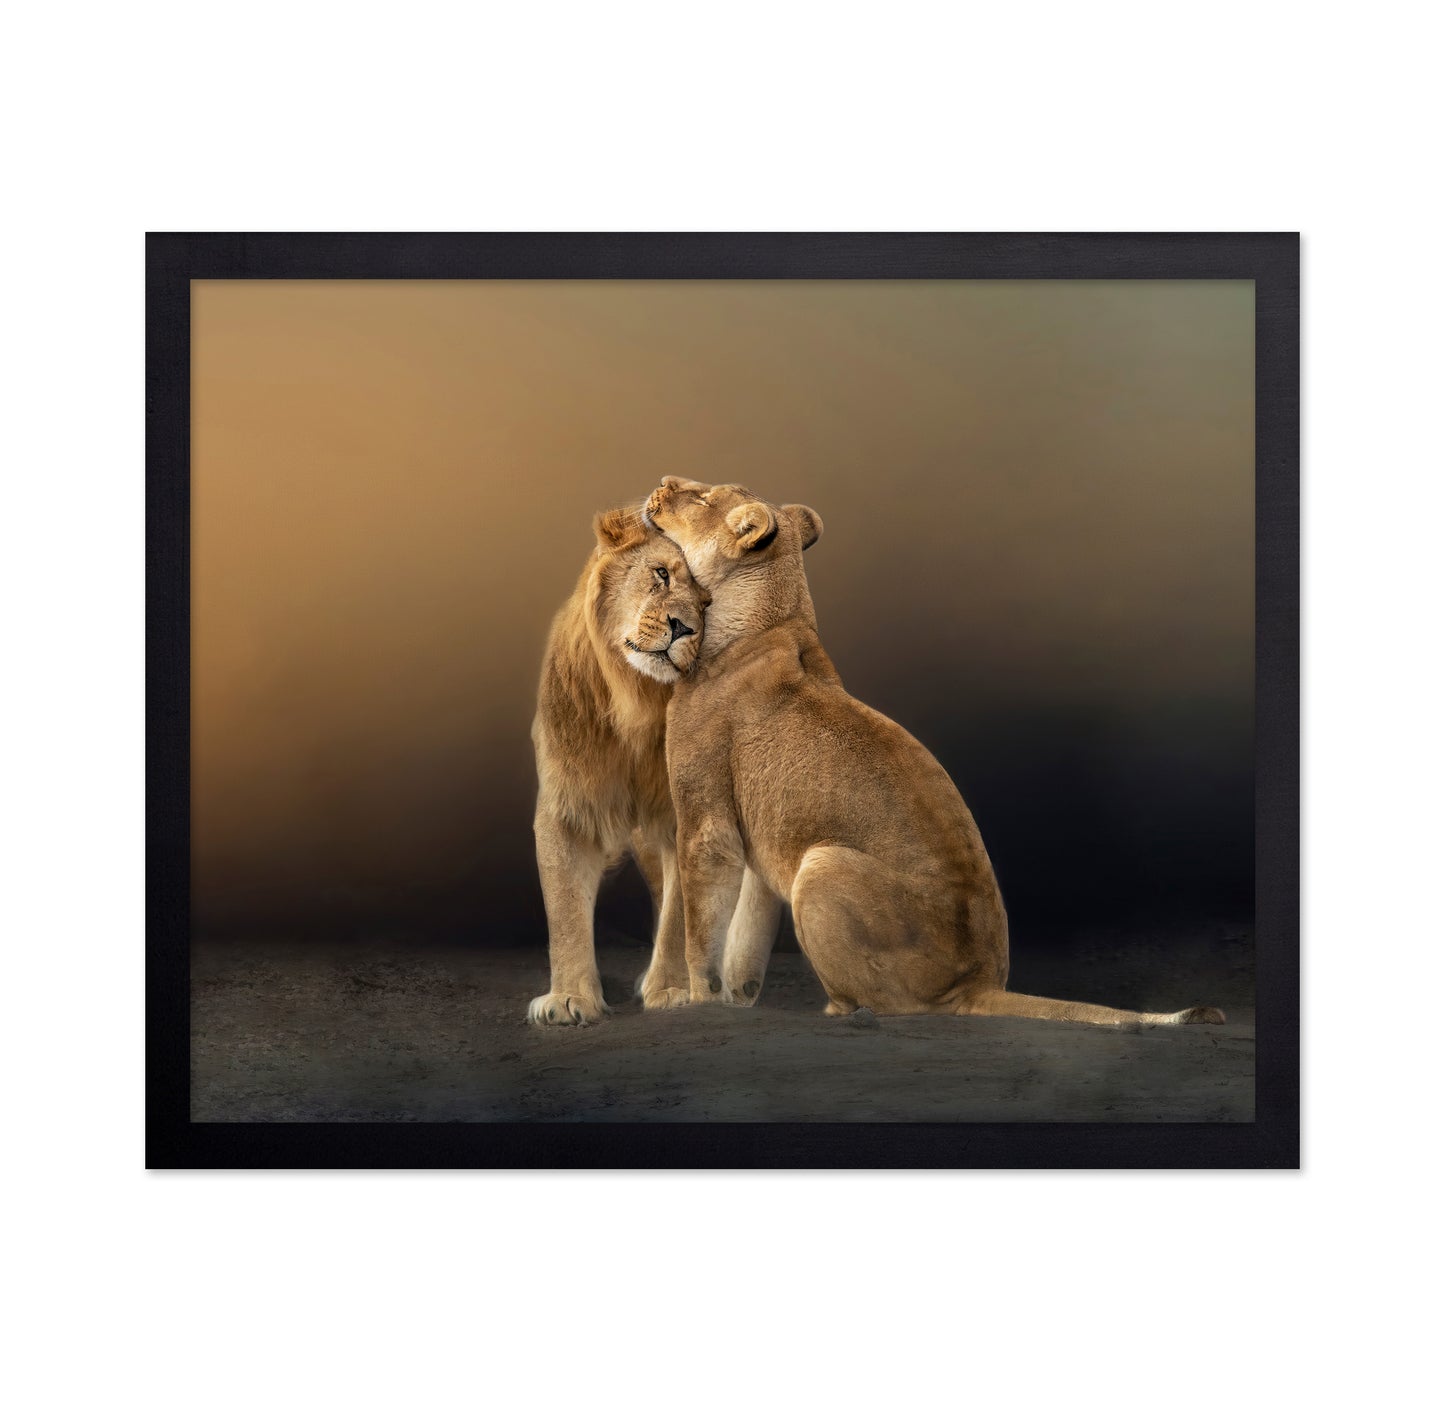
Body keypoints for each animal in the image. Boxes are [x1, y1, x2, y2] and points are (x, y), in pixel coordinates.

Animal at [526, 503, 782, 1026]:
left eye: (707, 605)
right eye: (661, 574)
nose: (682, 628)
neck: (637, 701)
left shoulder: (691, 813)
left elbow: (683, 915)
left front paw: (673, 989)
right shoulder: (566, 808)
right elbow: (565, 910)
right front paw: (569, 998)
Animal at [644, 475, 1226, 1028]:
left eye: (702, 497)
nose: (665, 480)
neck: (769, 618)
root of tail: (978, 985)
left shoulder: (707, 824)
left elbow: (702, 930)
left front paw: (697, 1002)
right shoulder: (754, 838)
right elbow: (746, 932)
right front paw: (737, 998)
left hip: (822, 863)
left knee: (887, 1006)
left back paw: (841, 1010)